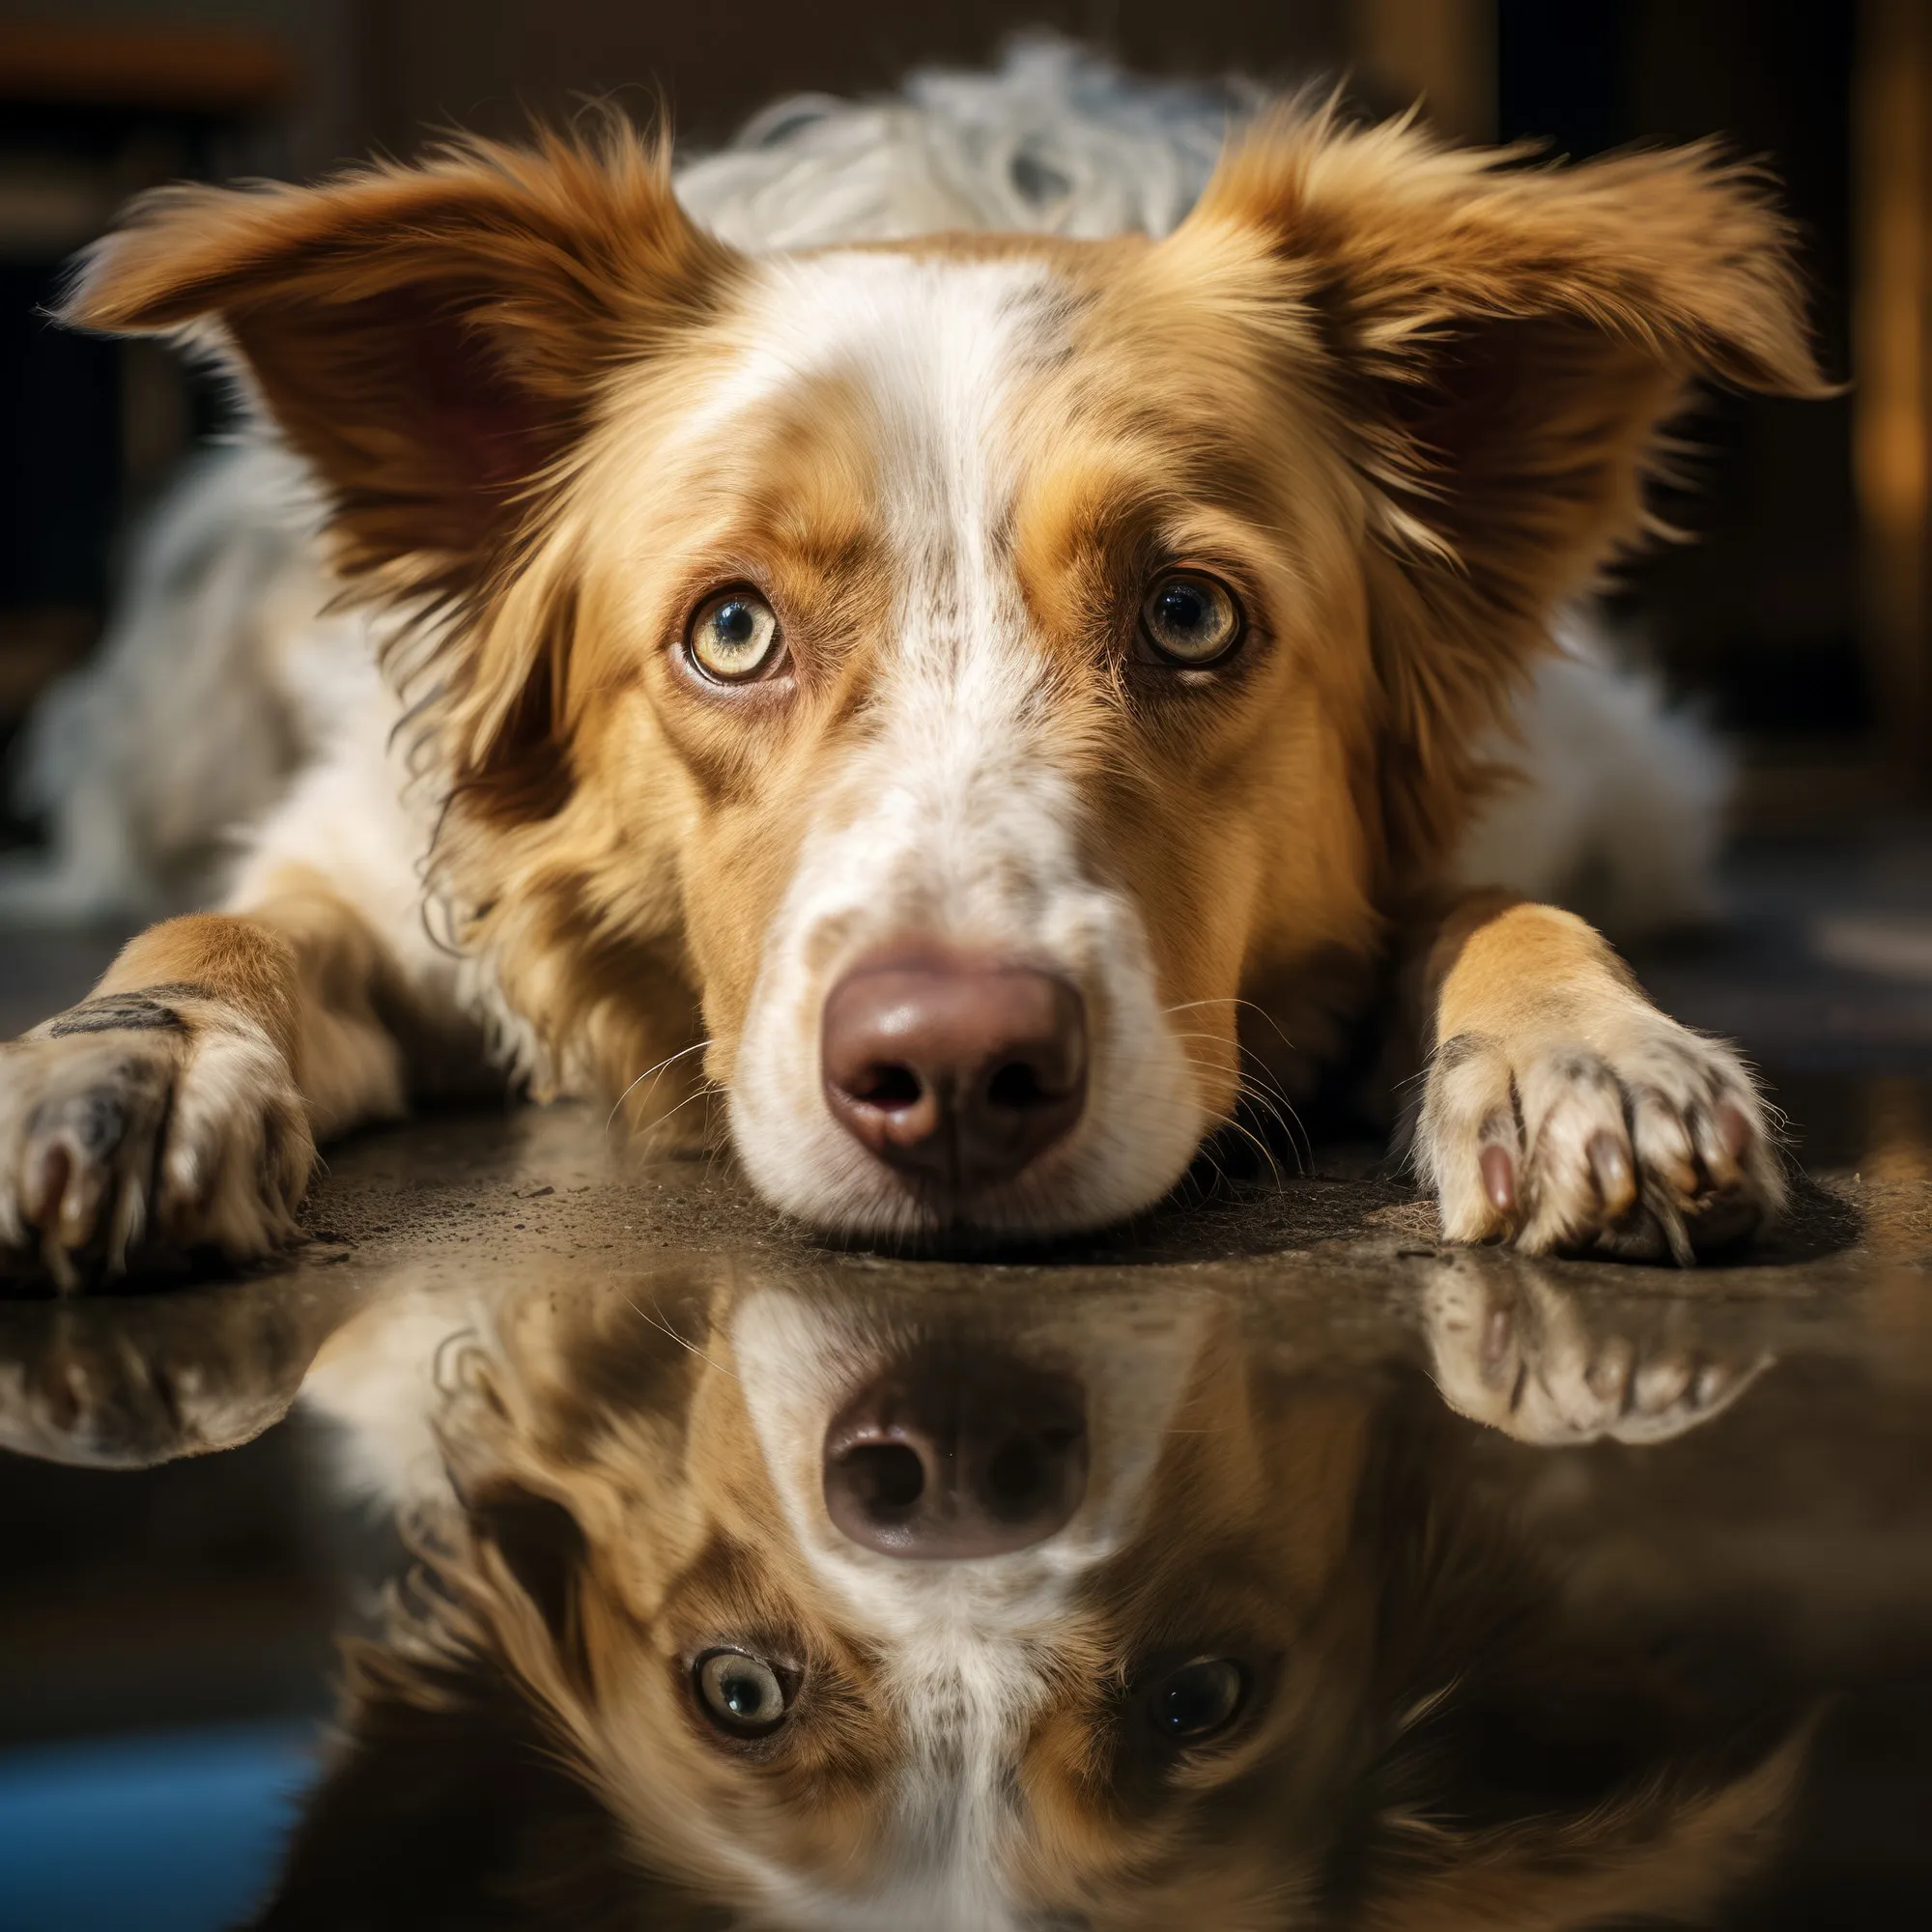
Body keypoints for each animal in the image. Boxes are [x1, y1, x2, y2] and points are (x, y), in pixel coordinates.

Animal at [0, 42, 1824, 1283]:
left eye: (1190, 616)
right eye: (731, 630)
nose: (951, 1073)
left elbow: (1485, 900)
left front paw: (1580, 1050)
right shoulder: (379, 862)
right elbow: (224, 929)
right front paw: (127, 1061)